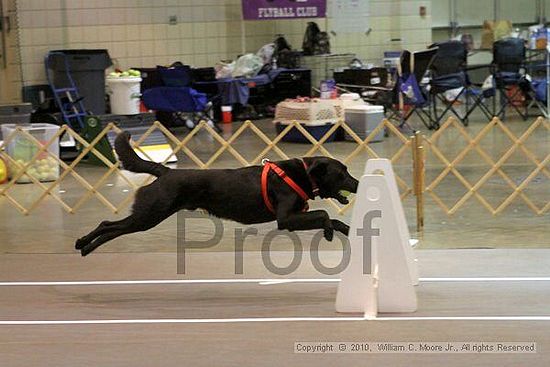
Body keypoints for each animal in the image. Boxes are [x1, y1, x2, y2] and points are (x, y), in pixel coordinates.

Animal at [76, 132, 362, 256]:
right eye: (342, 173)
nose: (359, 182)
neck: (301, 173)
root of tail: (164, 172)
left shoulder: (294, 217)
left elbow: (335, 219)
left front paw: (347, 231)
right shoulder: (287, 219)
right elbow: (324, 214)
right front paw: (327, 233)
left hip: (148, 214)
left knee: (110, 225)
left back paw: (83, 245)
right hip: (149, 214)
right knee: (111, 226)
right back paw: (86, 245)